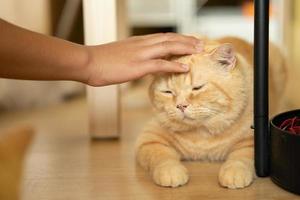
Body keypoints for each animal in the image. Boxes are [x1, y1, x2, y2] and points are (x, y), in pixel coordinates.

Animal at [135, 36, 286, 188]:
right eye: (167, 92)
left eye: (197, 88)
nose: (181, 106)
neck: (202, 133)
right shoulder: (149, 140)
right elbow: (161, 156)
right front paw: (171, 171)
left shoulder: (254, 142)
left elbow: (241, 157)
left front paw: (234, 172)